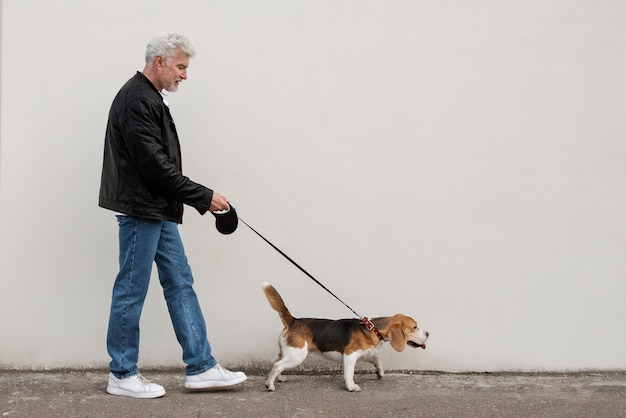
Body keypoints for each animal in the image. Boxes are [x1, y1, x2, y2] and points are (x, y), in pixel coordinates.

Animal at [260, 280, 426, 392]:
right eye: (414, 327)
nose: (428, 334)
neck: (373, 328)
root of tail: (294, 320)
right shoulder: (350, 355)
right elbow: (349, 373)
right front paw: (351, 387)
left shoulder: (366, 353)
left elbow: (377, 359)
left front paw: (380, 372)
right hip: (298, 355)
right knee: (277, 365)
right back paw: (270, 385)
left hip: (289, 352)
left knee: (275, 362)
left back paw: (279, 378)